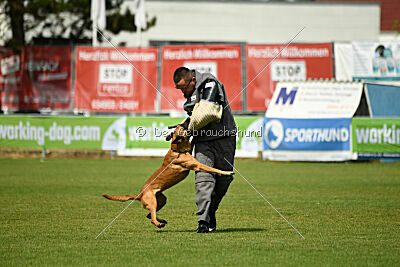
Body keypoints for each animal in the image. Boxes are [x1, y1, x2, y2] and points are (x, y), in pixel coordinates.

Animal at [101, 120, 234, 229]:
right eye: (183, 126)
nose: (188, 118)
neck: (176, 150)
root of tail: (140, 194)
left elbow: (192, 143)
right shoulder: (197, 165)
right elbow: (213, 168)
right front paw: (226, 172)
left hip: (162, 199)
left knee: (149, 215)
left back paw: (162, 221)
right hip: (153, 202)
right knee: (152, 217)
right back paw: (159, 224)